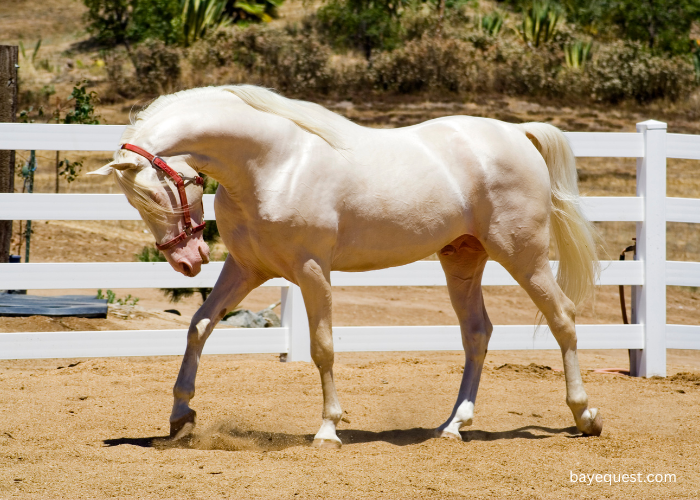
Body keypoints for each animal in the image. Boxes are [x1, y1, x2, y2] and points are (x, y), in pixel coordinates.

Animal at [91, 84, 600, 448]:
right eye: (137, 202)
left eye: (166, 190)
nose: (187, 261)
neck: (272, 163)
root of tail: (518, 133)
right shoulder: (247, 269)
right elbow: (199, 325)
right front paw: (181, 418)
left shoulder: (312, 270)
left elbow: (322, 348)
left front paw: (327, 431)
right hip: (463, 258)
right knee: (477, 333)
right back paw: (454, 426)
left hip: (522, 254)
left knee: (563, 318)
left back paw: (585, 416)